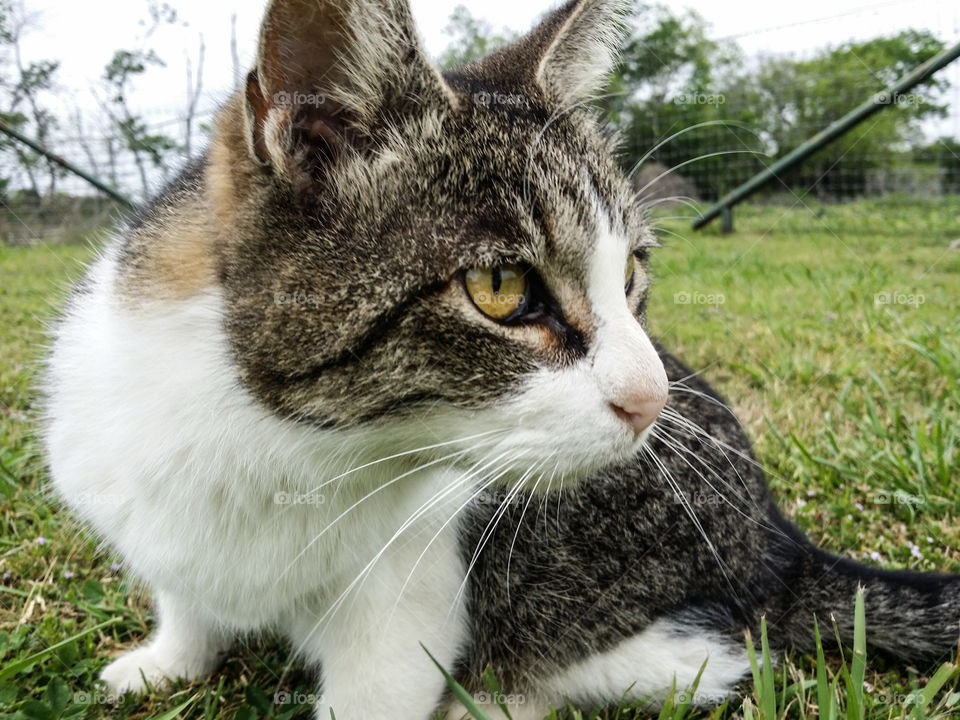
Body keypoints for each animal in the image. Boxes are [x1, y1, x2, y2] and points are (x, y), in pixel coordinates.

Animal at [43, 1, 960, 720]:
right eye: (500, 287)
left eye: (631, 273)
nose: (651, 400)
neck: (275, 442)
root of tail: (778, 535)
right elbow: (187, 600)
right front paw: (167, 660)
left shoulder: (408, 602)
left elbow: (375, 692)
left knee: (698, 660)